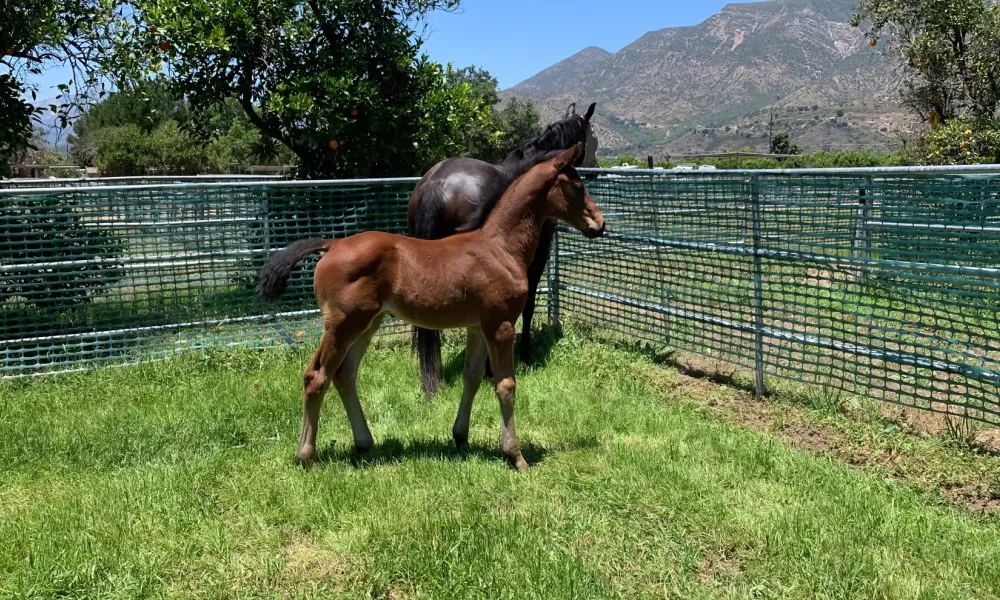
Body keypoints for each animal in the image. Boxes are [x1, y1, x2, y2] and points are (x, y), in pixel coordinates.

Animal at [254, 144, 604, 468]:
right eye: (577, 185)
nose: (599, 224)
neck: (501, 247)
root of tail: (332, 244)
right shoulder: (501, 325)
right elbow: (505, 385)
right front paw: (515, 456)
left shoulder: (478, 326)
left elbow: (472, 377)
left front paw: (461, 438)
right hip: (343, 324)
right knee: (316, 377)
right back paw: (306, 454)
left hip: (368, 323)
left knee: (345, 374)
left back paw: (364, 443)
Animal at [408, 101, 596, 396]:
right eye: (590, 133)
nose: (596, 168)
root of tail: (436, 183)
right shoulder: (537, 258)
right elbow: (529, 306)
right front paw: (526, 356)